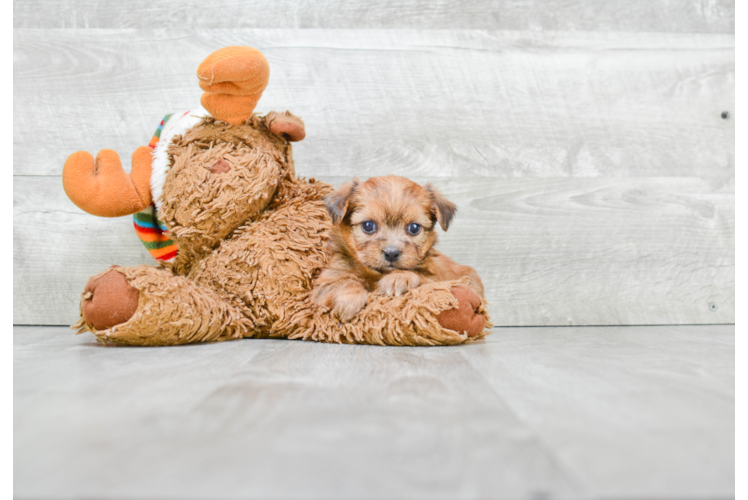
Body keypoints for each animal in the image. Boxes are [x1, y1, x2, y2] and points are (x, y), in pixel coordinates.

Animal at [310, 176, 486, 322]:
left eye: (414, 228)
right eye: (368, 225)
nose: (391, 253)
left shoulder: (437, 280)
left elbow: (423, 280)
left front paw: (399, 277)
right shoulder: (326, 282)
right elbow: (342, 282)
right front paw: (349, 301)